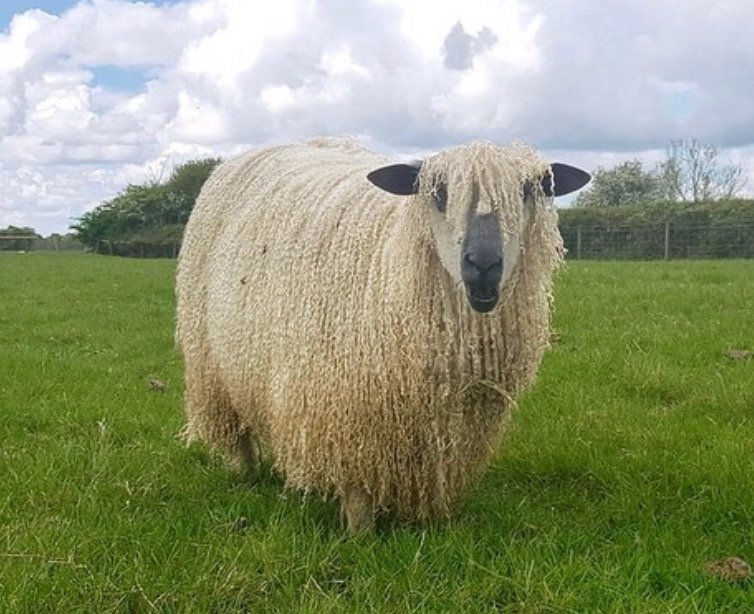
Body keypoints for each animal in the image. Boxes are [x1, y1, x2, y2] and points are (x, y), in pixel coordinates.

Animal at [175, 136, 589, 532]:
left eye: (529, 190)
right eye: (438, 193)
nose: (483, 265)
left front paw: (430, 520)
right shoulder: (349, 406)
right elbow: (358, 484)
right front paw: (360, 532)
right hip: (210, 363)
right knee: (234, 429)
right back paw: (244, 472)